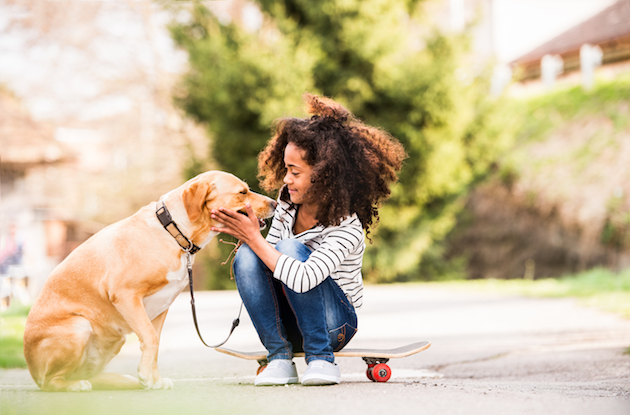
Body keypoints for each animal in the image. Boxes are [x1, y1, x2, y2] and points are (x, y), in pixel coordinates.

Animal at [24, 171, 276, 392]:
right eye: (242, 192)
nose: (275, 203)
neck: (173, 233)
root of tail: (31, 370)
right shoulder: (126, 296)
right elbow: (151, 338)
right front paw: (147, 376)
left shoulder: (161, 308)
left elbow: (154, 340)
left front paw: (153, 380)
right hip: (80, 326)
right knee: (51, 381)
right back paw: (74, 385)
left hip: (115, 339)